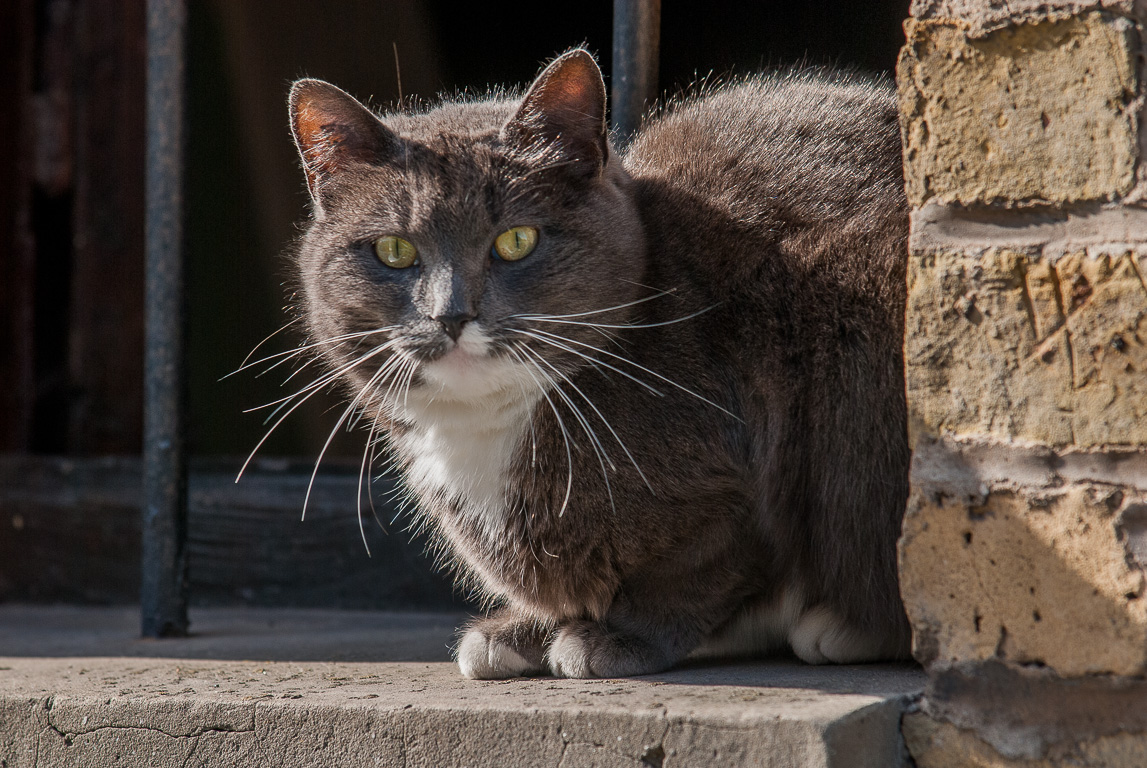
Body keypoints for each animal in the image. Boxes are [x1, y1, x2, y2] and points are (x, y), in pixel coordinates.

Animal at [286, 49, 913, 678]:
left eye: (516, 240)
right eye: (394, 251)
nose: (451, 314)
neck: (488, 426)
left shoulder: (737, 472)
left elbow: (705, 567)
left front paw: (615, 636)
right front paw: (524, 629)